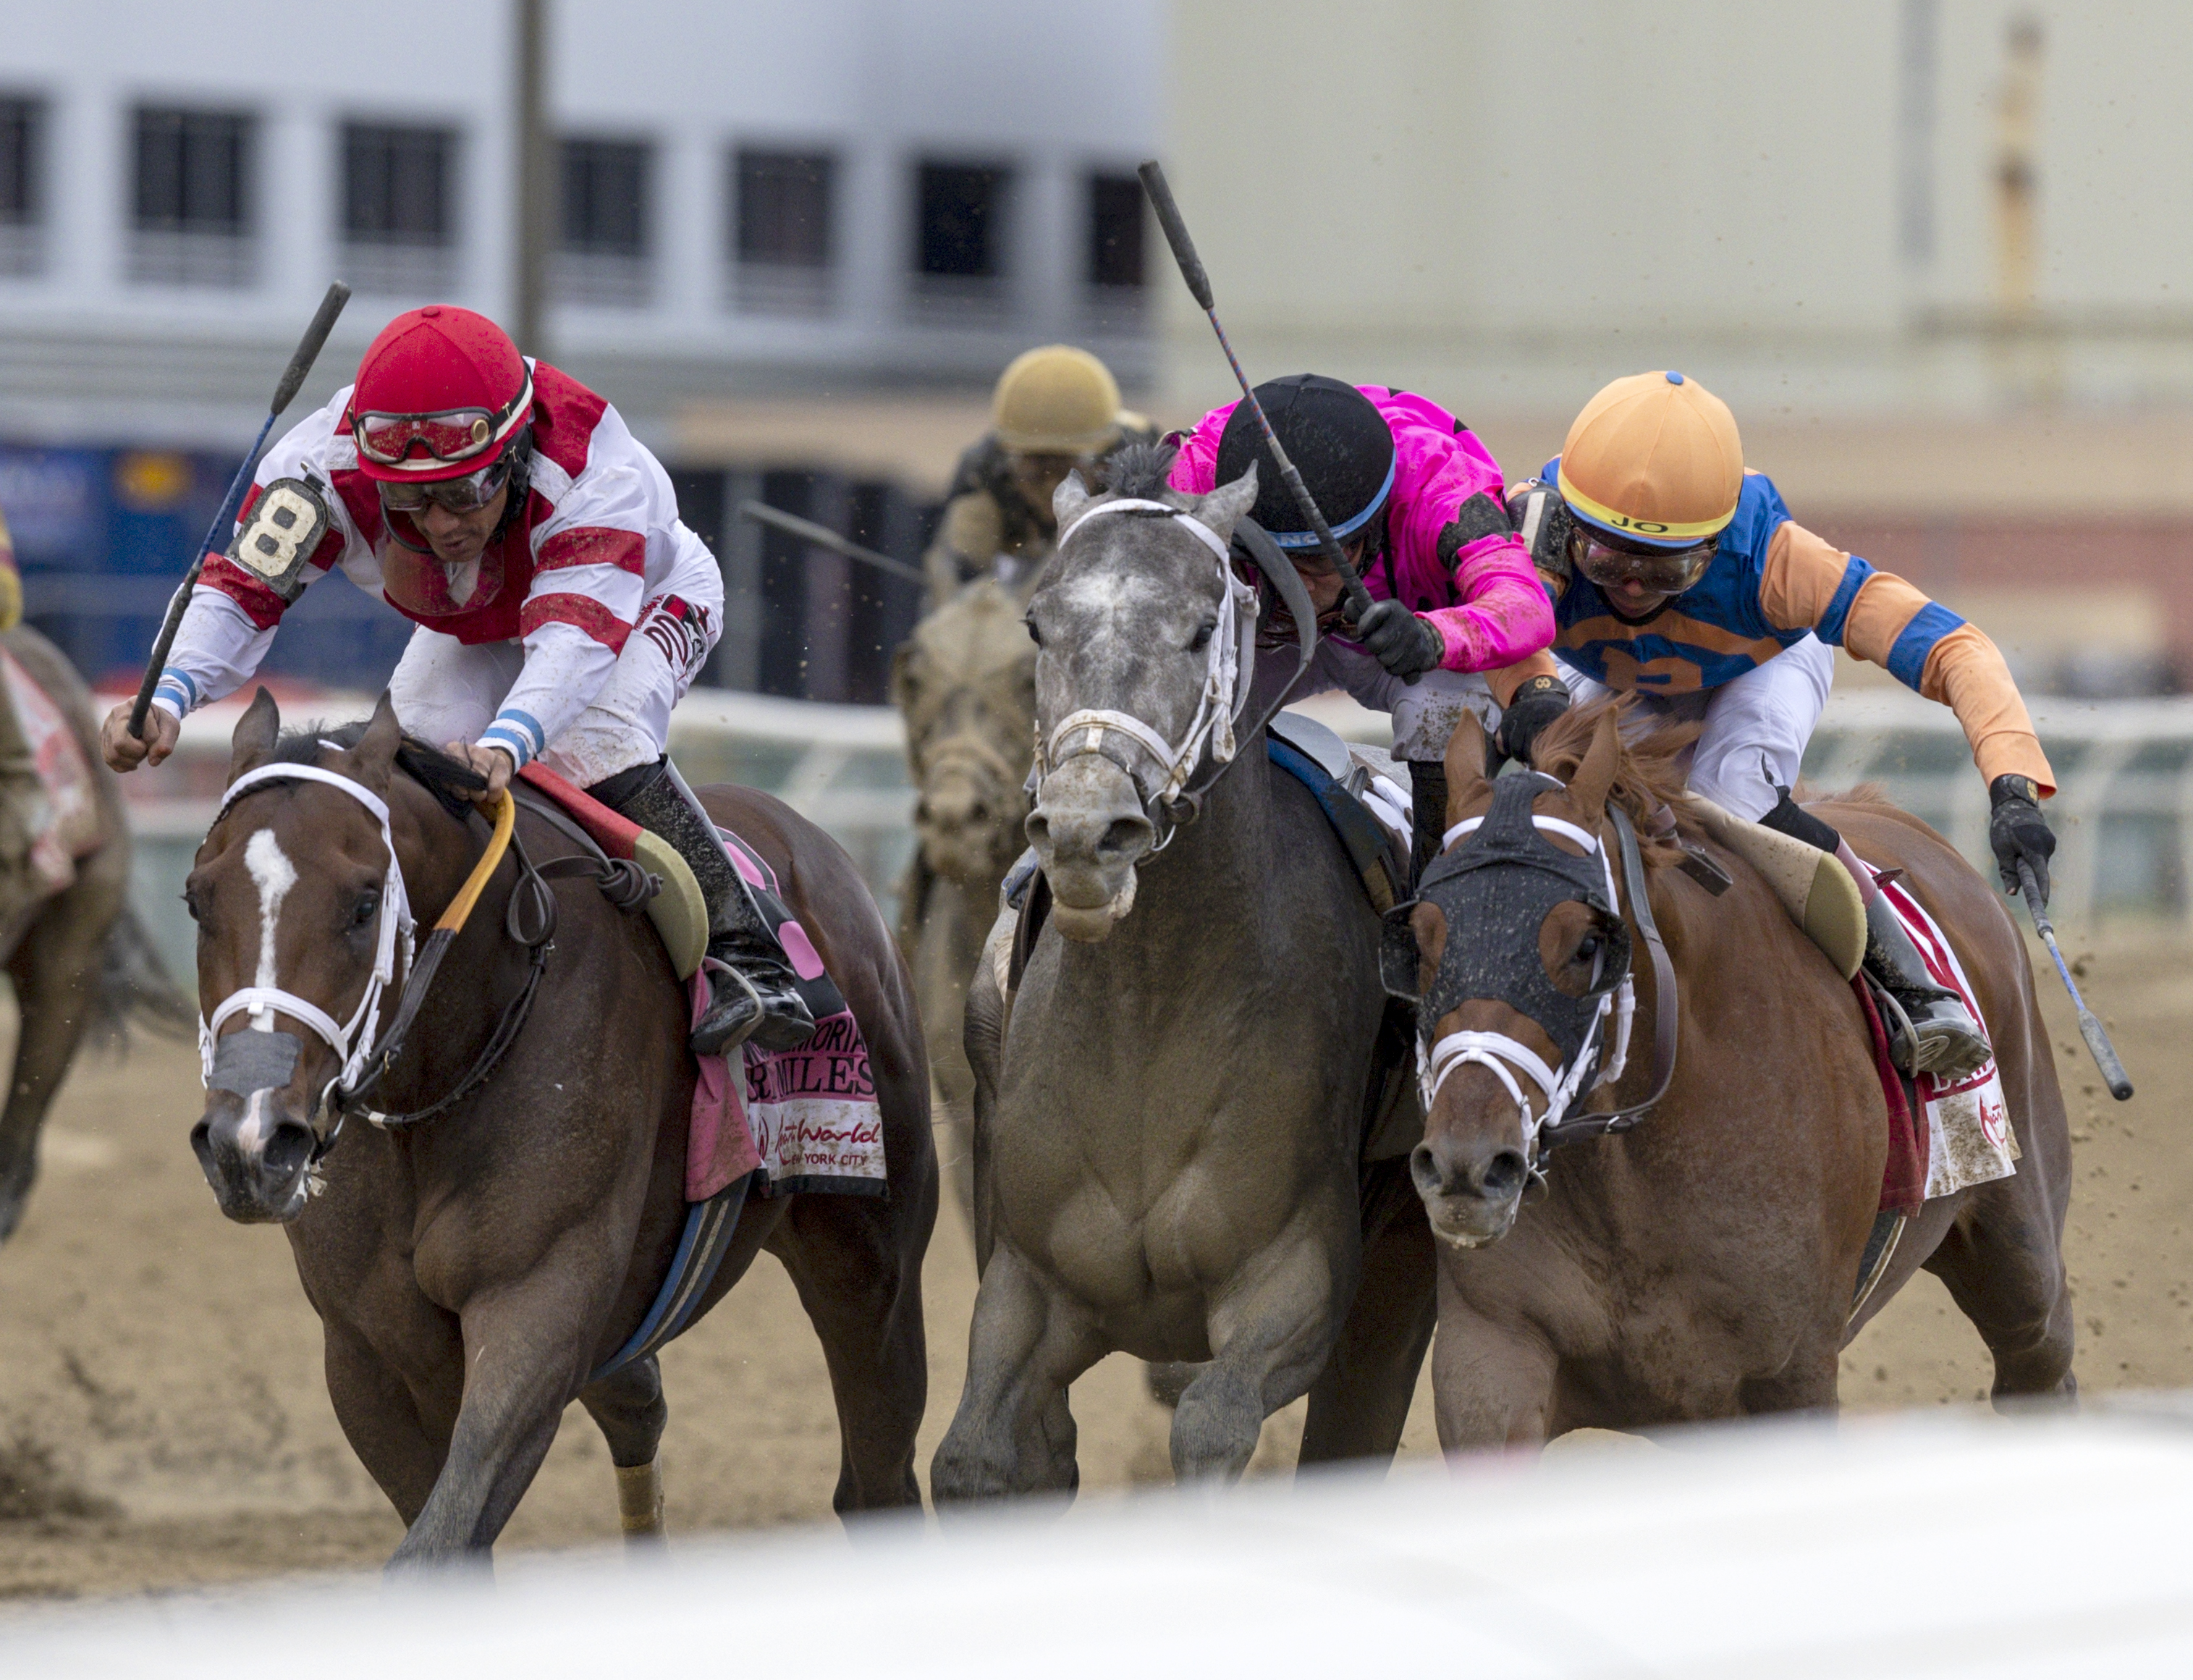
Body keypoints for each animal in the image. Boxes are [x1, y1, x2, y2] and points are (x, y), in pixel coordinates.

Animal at [188, 693, 934, 1570]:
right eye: (197, 899)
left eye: (365, 902)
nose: (251, 1140)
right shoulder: (370, 1355)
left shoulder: (535, 1304)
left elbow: (440, 1535)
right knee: (639, 1400)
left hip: (870, 1260)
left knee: (877, 1474)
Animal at [929, 452, 1429, 1500]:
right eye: (1037, 625)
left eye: (1203, 626)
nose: (1086, 832)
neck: (1152, 1012)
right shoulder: (1026, 1283)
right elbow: (974, 1458)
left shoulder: (1293, 1281)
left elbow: (1209, 1424)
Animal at [1403, 706, 2070, 1447]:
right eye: (1422, 942)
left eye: (1585, 944)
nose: (1467, 1164)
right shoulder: (1494, 1351)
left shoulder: (1791, 1375)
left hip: (2023, 1249)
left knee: (2038, 1357)